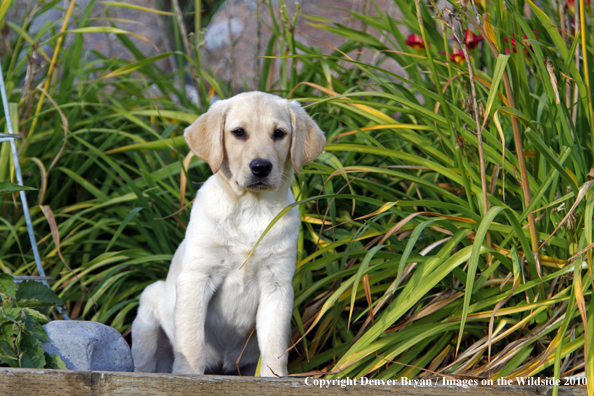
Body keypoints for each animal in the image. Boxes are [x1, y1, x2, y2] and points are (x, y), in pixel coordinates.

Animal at [131, 90, 324, 378]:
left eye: (279, 134)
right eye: (238, 132)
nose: (261, 167)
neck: (251, 209)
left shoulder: (277, 285)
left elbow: (275, 346)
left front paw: (274, 378)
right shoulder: (197, 277)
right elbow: (191, 342)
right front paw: (188, 376)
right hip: (148, 310)